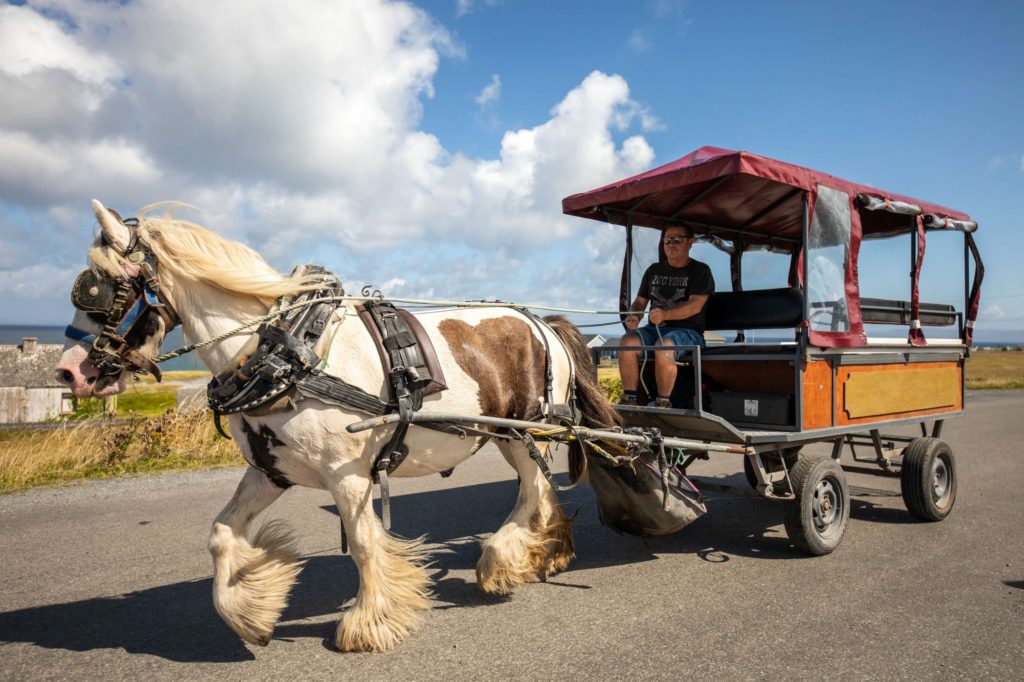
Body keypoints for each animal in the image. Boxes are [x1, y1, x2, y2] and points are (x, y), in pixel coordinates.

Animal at [55, 200, 625, 652]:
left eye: (102, 288)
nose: (68, 372)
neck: (283, 351)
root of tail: (541, 321)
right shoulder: (271, 470)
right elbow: (221, 535)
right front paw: (250, 613)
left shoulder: (347, 473)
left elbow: (366, 542)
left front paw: (368, 624)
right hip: (519, 436)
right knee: (542, 493)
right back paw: (548, 552)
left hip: (525, 434)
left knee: (533, 491)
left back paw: (501, 561)